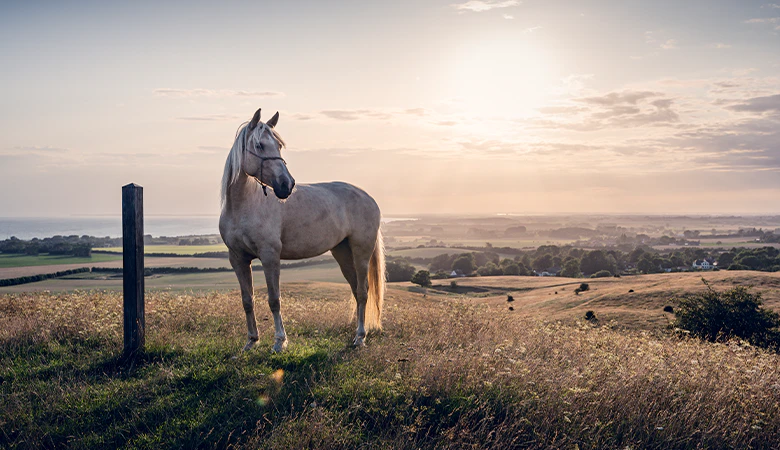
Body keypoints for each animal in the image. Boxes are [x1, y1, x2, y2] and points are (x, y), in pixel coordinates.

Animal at [219, 107, 385, 352]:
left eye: (278, 146)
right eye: (259, 145)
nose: (286, 185)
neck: (244, 206)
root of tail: (369, 198)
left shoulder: (270, 256)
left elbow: (274, 299)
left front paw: (279, 342)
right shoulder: (238, 259)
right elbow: (247, 300)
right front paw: (251, 341)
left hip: (361, 252)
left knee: (363, 292)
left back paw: (360, 337)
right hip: (342, 253)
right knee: (356, 290)